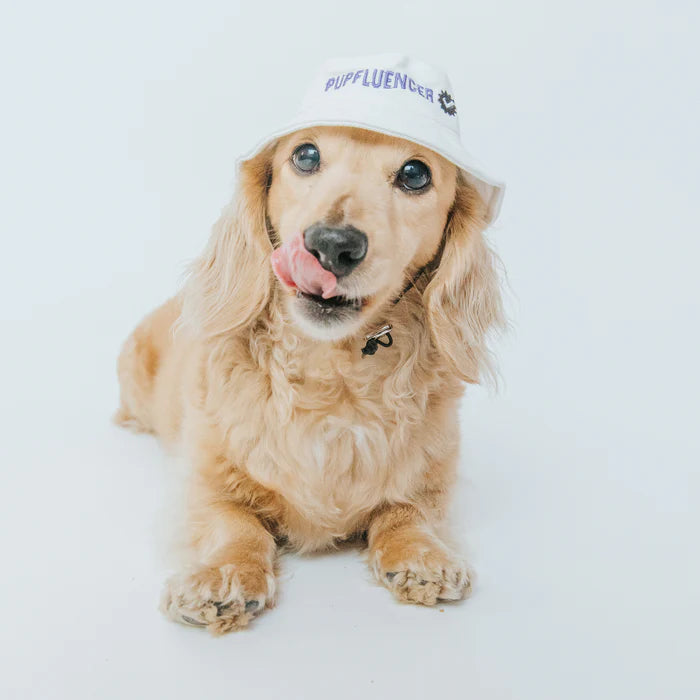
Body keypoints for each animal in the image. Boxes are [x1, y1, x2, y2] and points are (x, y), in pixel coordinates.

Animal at [117, 126, 506, 636]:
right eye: (305, 155)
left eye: (415, 173)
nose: (332, 245)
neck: (333, 377)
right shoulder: (205, 483)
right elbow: (235, 524)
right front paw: (225, 576)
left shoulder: (430, 481)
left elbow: (407, 513)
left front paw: (423, 557)